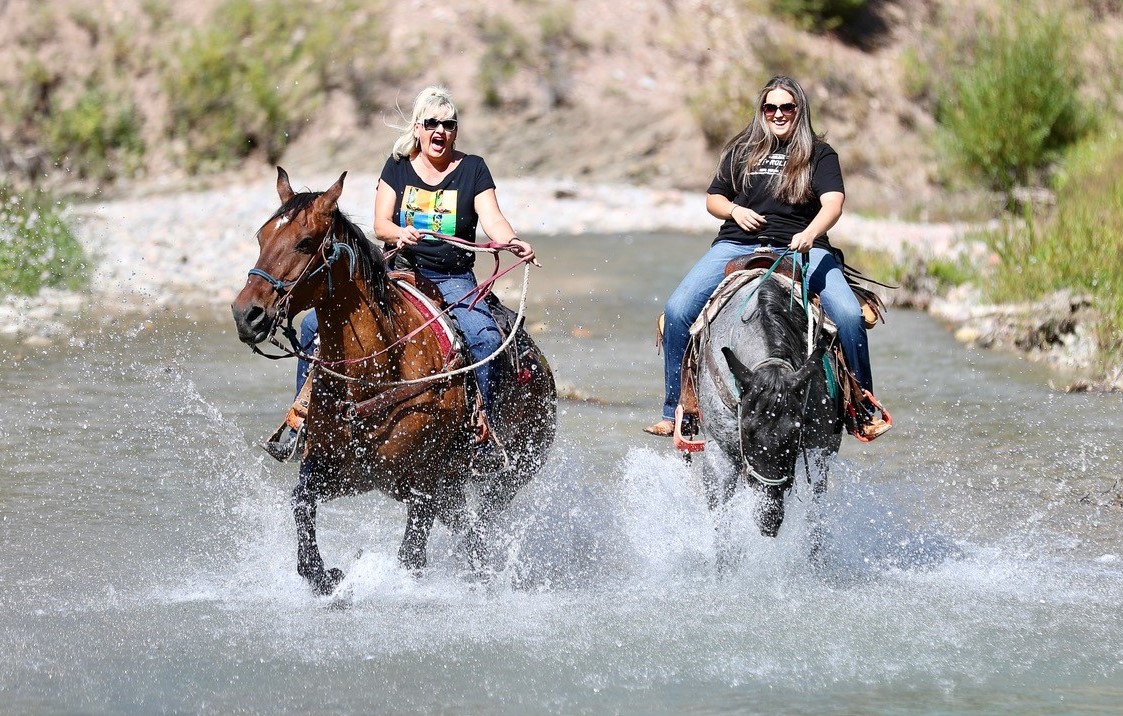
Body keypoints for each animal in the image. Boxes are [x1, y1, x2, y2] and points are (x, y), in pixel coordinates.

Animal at [229, 168, 557, 592]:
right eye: (261, 238)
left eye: (305, 243)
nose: (246, 314)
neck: (374, 375)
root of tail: (541, 366)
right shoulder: (336, 471)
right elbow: (301, 503)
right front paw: (324, 577)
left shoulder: (424, 485)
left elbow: (411, 557)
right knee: (468, 529)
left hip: (514, 471)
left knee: (484, 520)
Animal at [691, 271, 844, 540]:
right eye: (746, 430)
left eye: (797, 429)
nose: (769, 519)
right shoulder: (718, 454)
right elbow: (723, 529)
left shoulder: (818, 452)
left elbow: (814, 526)